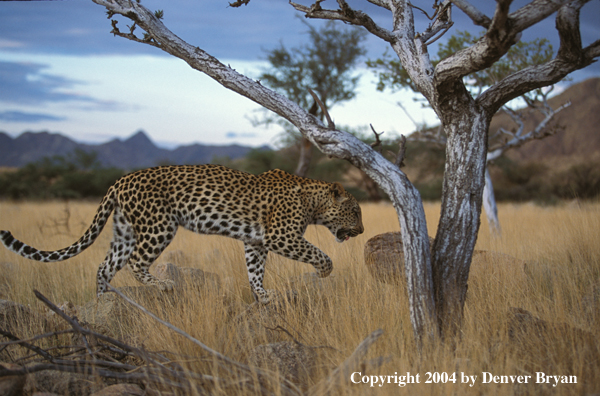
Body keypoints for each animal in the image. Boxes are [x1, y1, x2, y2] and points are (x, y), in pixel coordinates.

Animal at [0, 164, 364, 304]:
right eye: (356, 211)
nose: (361, 231)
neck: (313, 200)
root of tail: (120, 180)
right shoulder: (281, 236)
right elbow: (318, 252)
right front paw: (324, 270)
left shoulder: (256, 241)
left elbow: (255, 272)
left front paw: (263, 296)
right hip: (159, 226)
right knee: (135, 262)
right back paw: (163, 284)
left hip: (125, 231)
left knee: (105, 265)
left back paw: (103, 300)